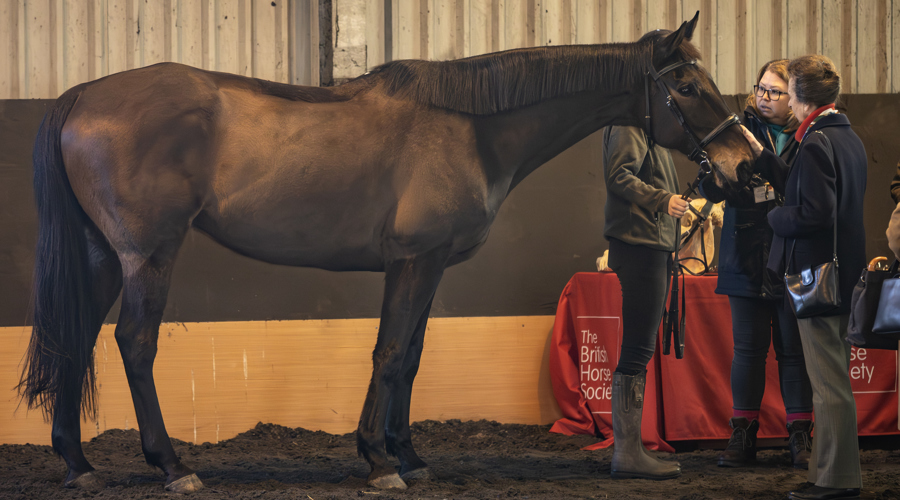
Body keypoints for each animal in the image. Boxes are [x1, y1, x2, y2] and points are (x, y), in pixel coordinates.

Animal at [19, 10, 752, 492]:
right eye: (686, 86)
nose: (743, 163)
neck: (473, 130)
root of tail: (83, 94)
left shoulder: (426, 267)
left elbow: (413, 357)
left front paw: (408, 456)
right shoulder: (414, 260)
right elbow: (392, 352)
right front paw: (377, 461)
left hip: (101, 256)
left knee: (75, 339)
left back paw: (79, 465)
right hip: (148, 256)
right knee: (135, 344)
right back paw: (172, 466)